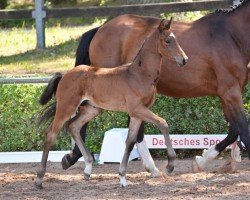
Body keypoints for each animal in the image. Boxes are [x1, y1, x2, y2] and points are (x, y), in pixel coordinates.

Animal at [35, 18, 188, 188]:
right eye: (168, 40)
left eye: (175, 39)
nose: (184, 60)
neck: (140, 74)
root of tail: (64, 75)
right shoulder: (138, 109)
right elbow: (163, 123)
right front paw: (170, 165)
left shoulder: (137, 113)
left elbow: (130, 141)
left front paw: (122, 177)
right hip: (66, 107)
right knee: (51, 134)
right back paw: (39, 179)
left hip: (92, 109)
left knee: (73, 126)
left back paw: (87, 169)